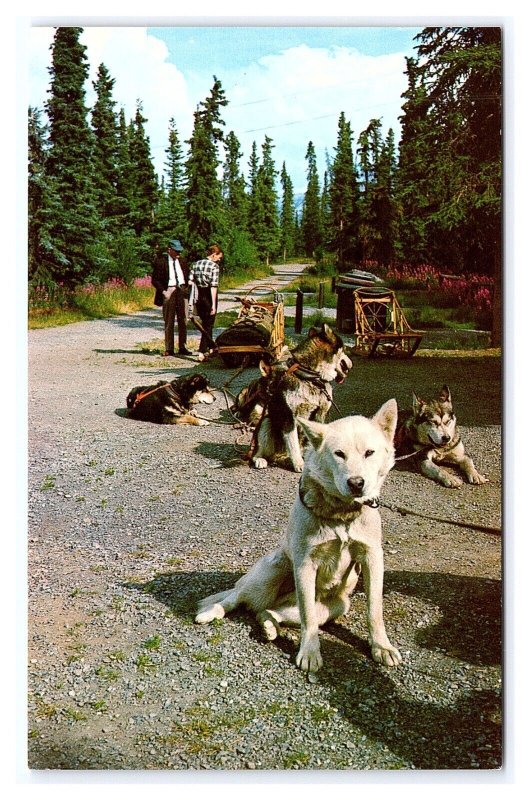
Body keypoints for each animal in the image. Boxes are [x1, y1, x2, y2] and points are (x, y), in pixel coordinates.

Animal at [195, 400, 400, 676]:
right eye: (339, 454)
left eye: (369, 452)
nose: (357, 483)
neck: (341, 514)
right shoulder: (305, 564)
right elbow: (308, 618)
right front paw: (310, 652)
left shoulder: (372, 559)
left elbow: (374, 609)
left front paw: (381, 646)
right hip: (269, 574)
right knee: (236, 598)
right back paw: (211, 613)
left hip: (335, 606)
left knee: (266, 611)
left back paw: (269, 626)